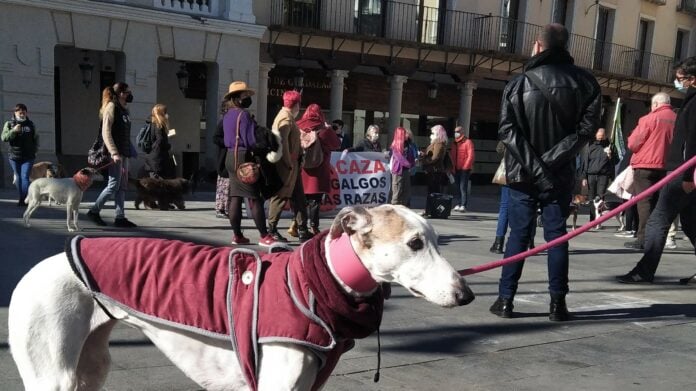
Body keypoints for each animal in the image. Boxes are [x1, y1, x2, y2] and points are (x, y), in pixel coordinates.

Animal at [9, 207, 474, 390]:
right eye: (415, 243)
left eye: (435, 239)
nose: (467, 293)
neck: (316, 281)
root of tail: (36, 268)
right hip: (52, 376)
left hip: (90, 369)